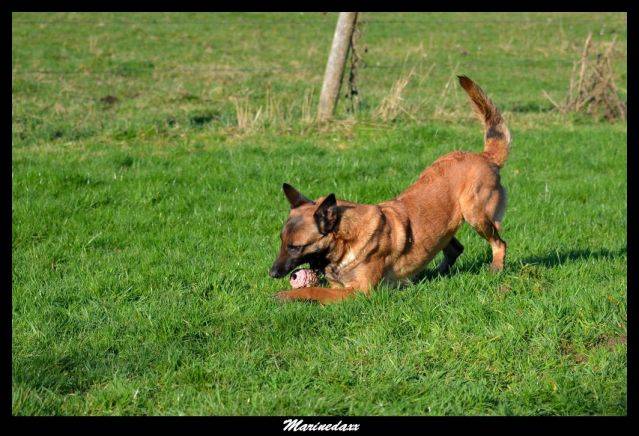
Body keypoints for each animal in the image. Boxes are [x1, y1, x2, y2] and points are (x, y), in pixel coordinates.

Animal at [270, 76, 510, 304]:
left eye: (294, 247)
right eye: (281, 241)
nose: (272, 273)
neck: (347, 239)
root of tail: (485, 156)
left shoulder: (360, 291)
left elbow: (314, 290)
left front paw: (286, 295)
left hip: (475, 214)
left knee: (500, 243)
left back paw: (495, 269)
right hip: (443, 226)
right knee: (455, 249)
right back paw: (433, 274)